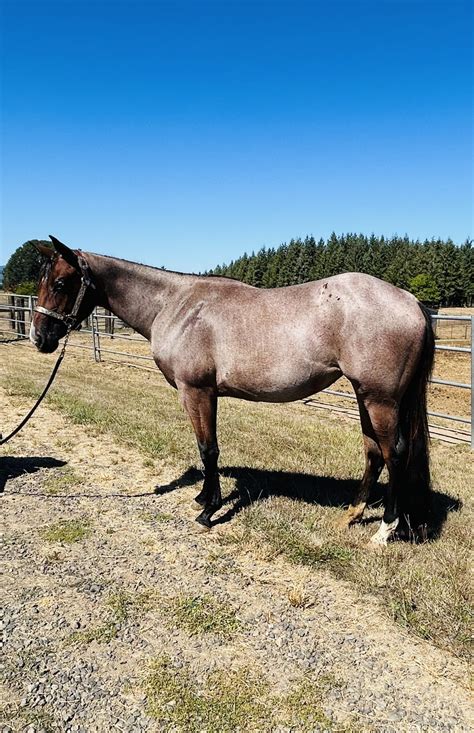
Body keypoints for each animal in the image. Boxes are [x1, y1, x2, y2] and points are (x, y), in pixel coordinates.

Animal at [31, 236, 435, 544]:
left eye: (62, 284)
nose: (39, 337)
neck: (176, 305)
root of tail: (411, 301)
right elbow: (205, 448)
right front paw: (201, 498)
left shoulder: (196, 391)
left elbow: (208, 448)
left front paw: (209, 511)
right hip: (365, 397)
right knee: (373, 453)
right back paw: (351, 515)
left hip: (380, 399)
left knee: (395, 454)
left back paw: (384, 531)